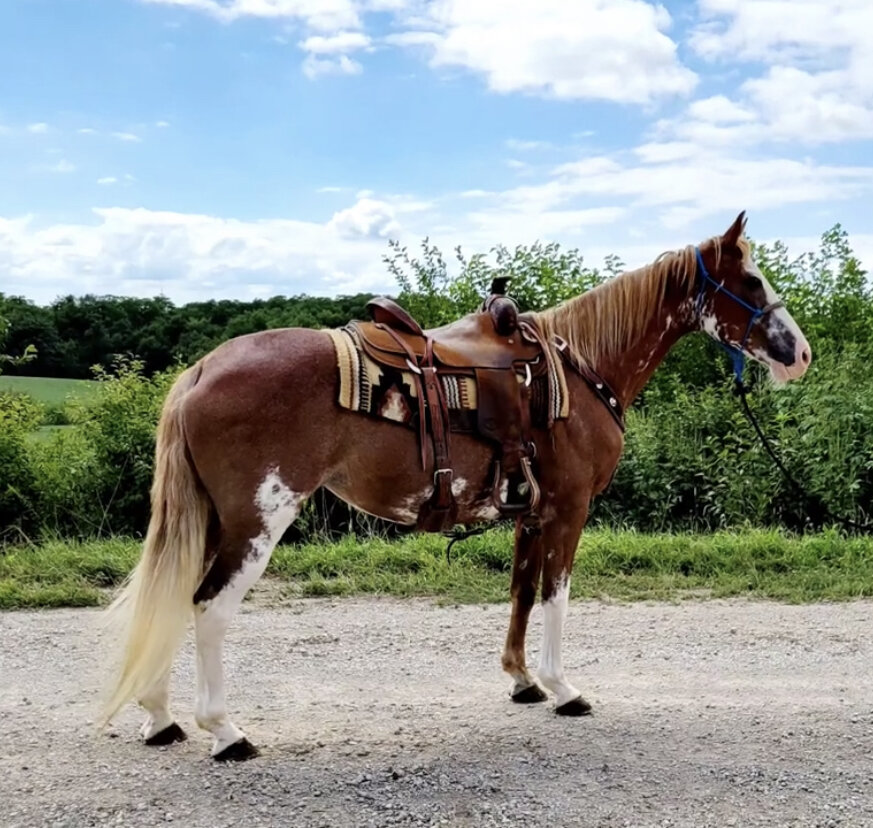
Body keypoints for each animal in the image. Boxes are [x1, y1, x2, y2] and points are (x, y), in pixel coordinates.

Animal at [99, 211, 811, 761]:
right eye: (750, 280)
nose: (800, 354)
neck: (580, 370)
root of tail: (199, 370)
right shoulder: (569, 511)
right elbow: (556, 596)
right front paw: (563, 688)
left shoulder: (532, 513)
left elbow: (521, 592)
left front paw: (522, 681)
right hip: (257, 522)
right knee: (207, 608)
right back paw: (224, 732)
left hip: (214, 521)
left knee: (173, 598)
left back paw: (160, 716)